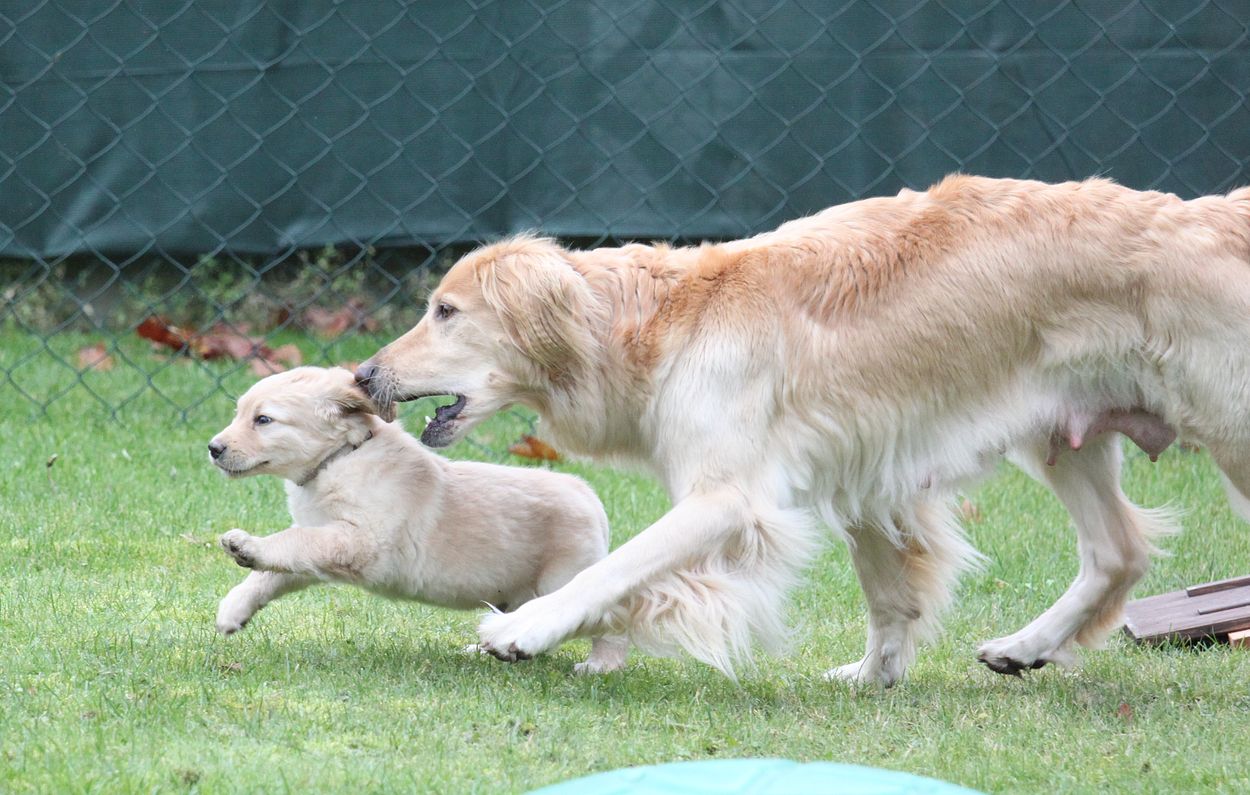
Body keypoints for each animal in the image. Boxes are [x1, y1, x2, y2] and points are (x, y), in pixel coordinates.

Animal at [207, 366, 628, 674]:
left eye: (264, 420)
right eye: (240, 414)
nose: (213, 448)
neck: (341, 457)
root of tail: (588, 496)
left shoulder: (356, 541)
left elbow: (288, 543)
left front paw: (246, 545)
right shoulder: (321, 543)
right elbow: (273, 572)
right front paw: (235, 609)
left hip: (566, 579)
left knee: (605, 619)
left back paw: (600, 666)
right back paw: (495, 648)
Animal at [355, 175, 1250, 685]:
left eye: (446, 311)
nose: (363, 376)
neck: (661, 323)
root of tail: (1217, 218)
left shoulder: (729, 498)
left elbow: (616, 570)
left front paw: (525, 629)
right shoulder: (868, 475)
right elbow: (891, 595)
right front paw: (872, 676)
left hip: (1225, 431)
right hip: (1063, 435)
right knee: (1118, 550)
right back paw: (1025, 646)